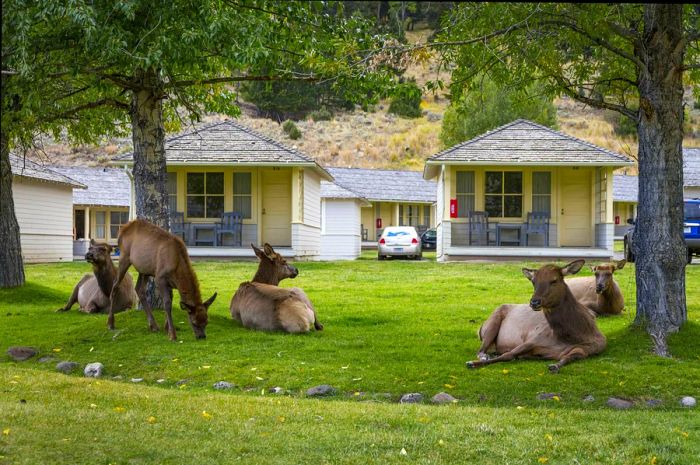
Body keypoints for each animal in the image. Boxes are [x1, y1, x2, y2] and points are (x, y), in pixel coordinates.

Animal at [464, 260, 608, 372]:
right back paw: (484, 356)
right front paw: (472, 363)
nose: (534, 302)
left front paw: (554, 366)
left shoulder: (588, 349)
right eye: (533, 281)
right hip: (491, 322)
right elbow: (508, 354)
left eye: (554, 280)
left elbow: (567, 357)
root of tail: (480, 327)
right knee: (481, 349)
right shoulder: (533, 339)